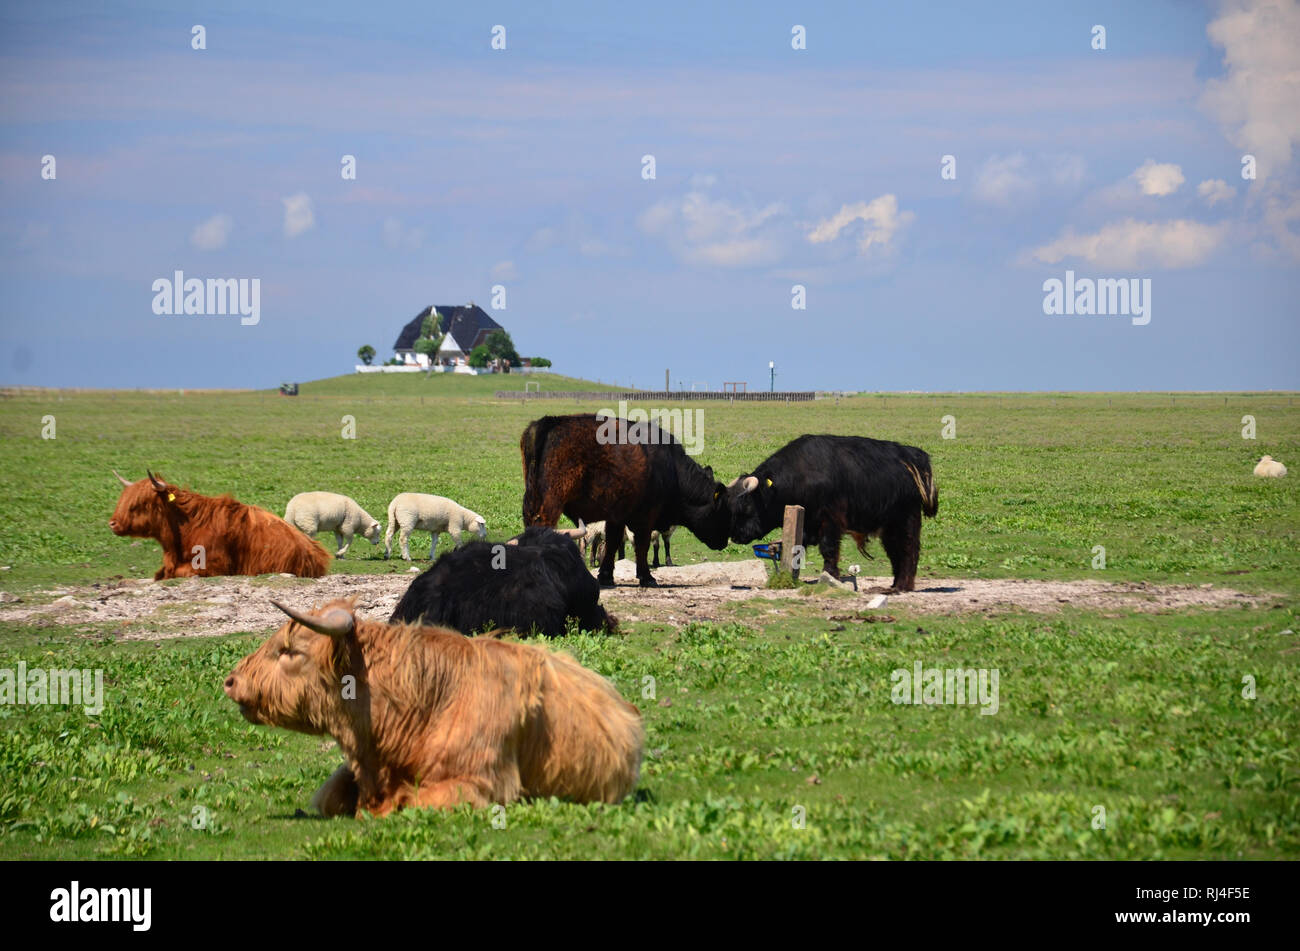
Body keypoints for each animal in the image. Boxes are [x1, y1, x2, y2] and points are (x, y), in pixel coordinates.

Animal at [728, 433, 941, 589]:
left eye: (746, 505)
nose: (736, 535)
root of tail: (913, 456)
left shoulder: (830, 520)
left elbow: (828, 548)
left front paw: (830, 575)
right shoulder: (807, 524)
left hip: (906, 520)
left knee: (909, 550)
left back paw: (902, 586)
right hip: (888, 527)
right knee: (895, 552)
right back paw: (895, 585)